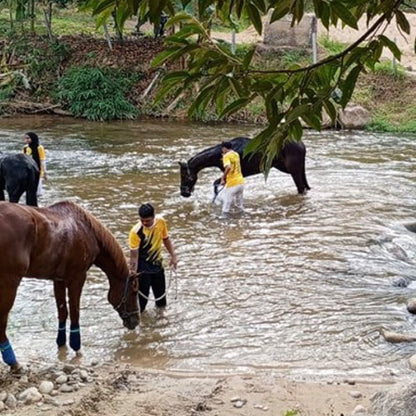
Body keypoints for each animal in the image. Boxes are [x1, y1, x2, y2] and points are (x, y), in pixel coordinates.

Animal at [0, 201, 140, 370]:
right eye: (134, 291)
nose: (136, 320)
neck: (87, 230)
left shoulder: (58, 280)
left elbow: (63, 312)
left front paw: (61, 344)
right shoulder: (78, 278)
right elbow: (74, 312)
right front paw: (77, 347)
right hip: (9, 283)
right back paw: (12, 361)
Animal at [177, 136, 310, 196]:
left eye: (184, 175)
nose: (184, 193)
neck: (220, 154)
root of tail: (302, 144)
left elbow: (216, 184)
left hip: (293, 170)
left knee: (301, 188)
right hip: (293, 169)